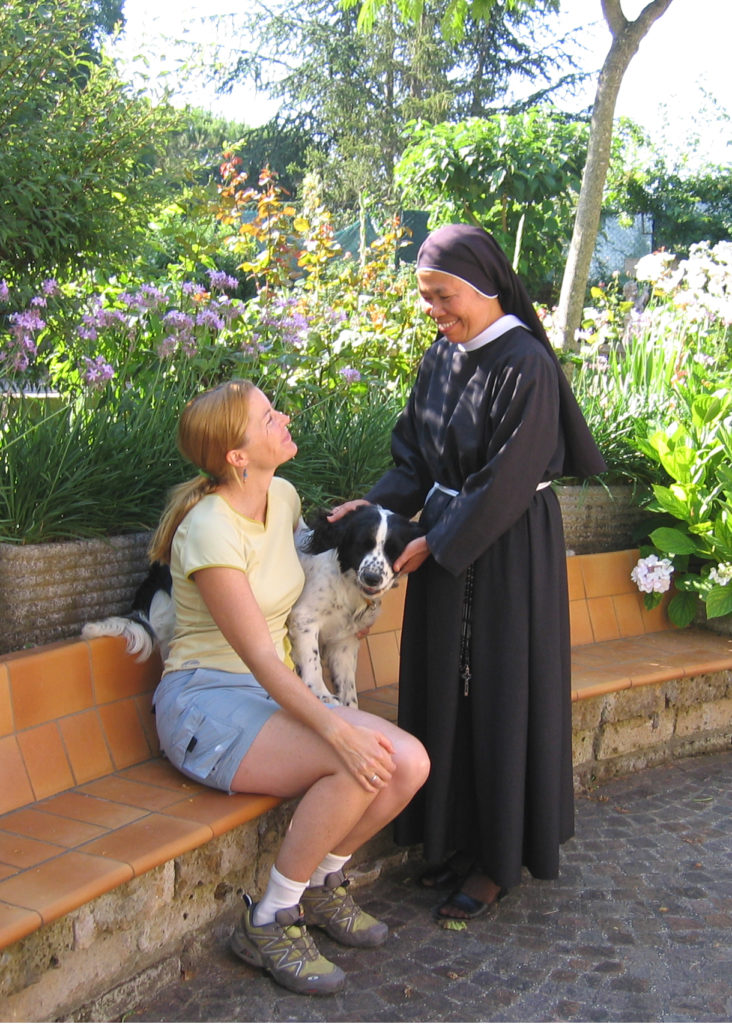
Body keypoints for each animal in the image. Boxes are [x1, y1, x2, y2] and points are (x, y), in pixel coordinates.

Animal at [81, 501, 423, 708]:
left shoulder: (344, 639)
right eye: (361, 544)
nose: (372, 577)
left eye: (393, 550)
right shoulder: (304, 620)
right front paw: (321, 694)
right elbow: (312, 664)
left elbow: (348, 687)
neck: (345, 578)